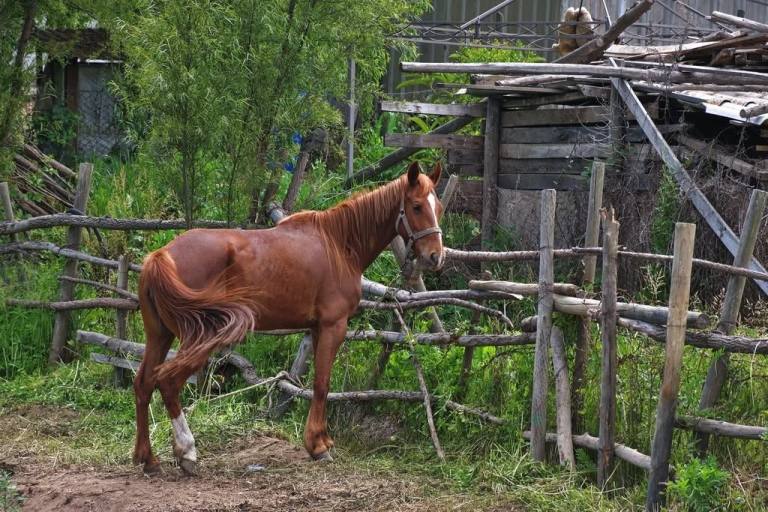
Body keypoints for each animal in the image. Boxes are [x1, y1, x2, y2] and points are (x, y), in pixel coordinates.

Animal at [132, 161, 445, 475]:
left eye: (439, 207)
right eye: (416, 206)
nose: (436, 257)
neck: (338, 243)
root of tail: (161, 256)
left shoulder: (317, 329)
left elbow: (319, 384)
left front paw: (322, 440)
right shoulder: (333, 326)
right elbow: (322, 383)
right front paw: (317, 446)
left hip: (160, 335)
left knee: (144, 383)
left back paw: (148, 459)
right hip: (196, 338)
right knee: (168, 383)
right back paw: (187, 452)